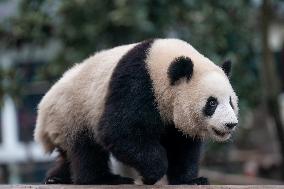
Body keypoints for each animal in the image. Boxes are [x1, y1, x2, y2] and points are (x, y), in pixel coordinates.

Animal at [34, 38, 239, 185]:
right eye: (211, 103)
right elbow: (119, 131)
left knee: (69, 155)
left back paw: (56, 178)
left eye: (230, 101)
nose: (230, 124)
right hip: (74, 111)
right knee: (86, 150)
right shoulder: (137, 83)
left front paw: (191, 180)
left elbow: (183, 145)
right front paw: (152, 174)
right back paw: (103, 179)